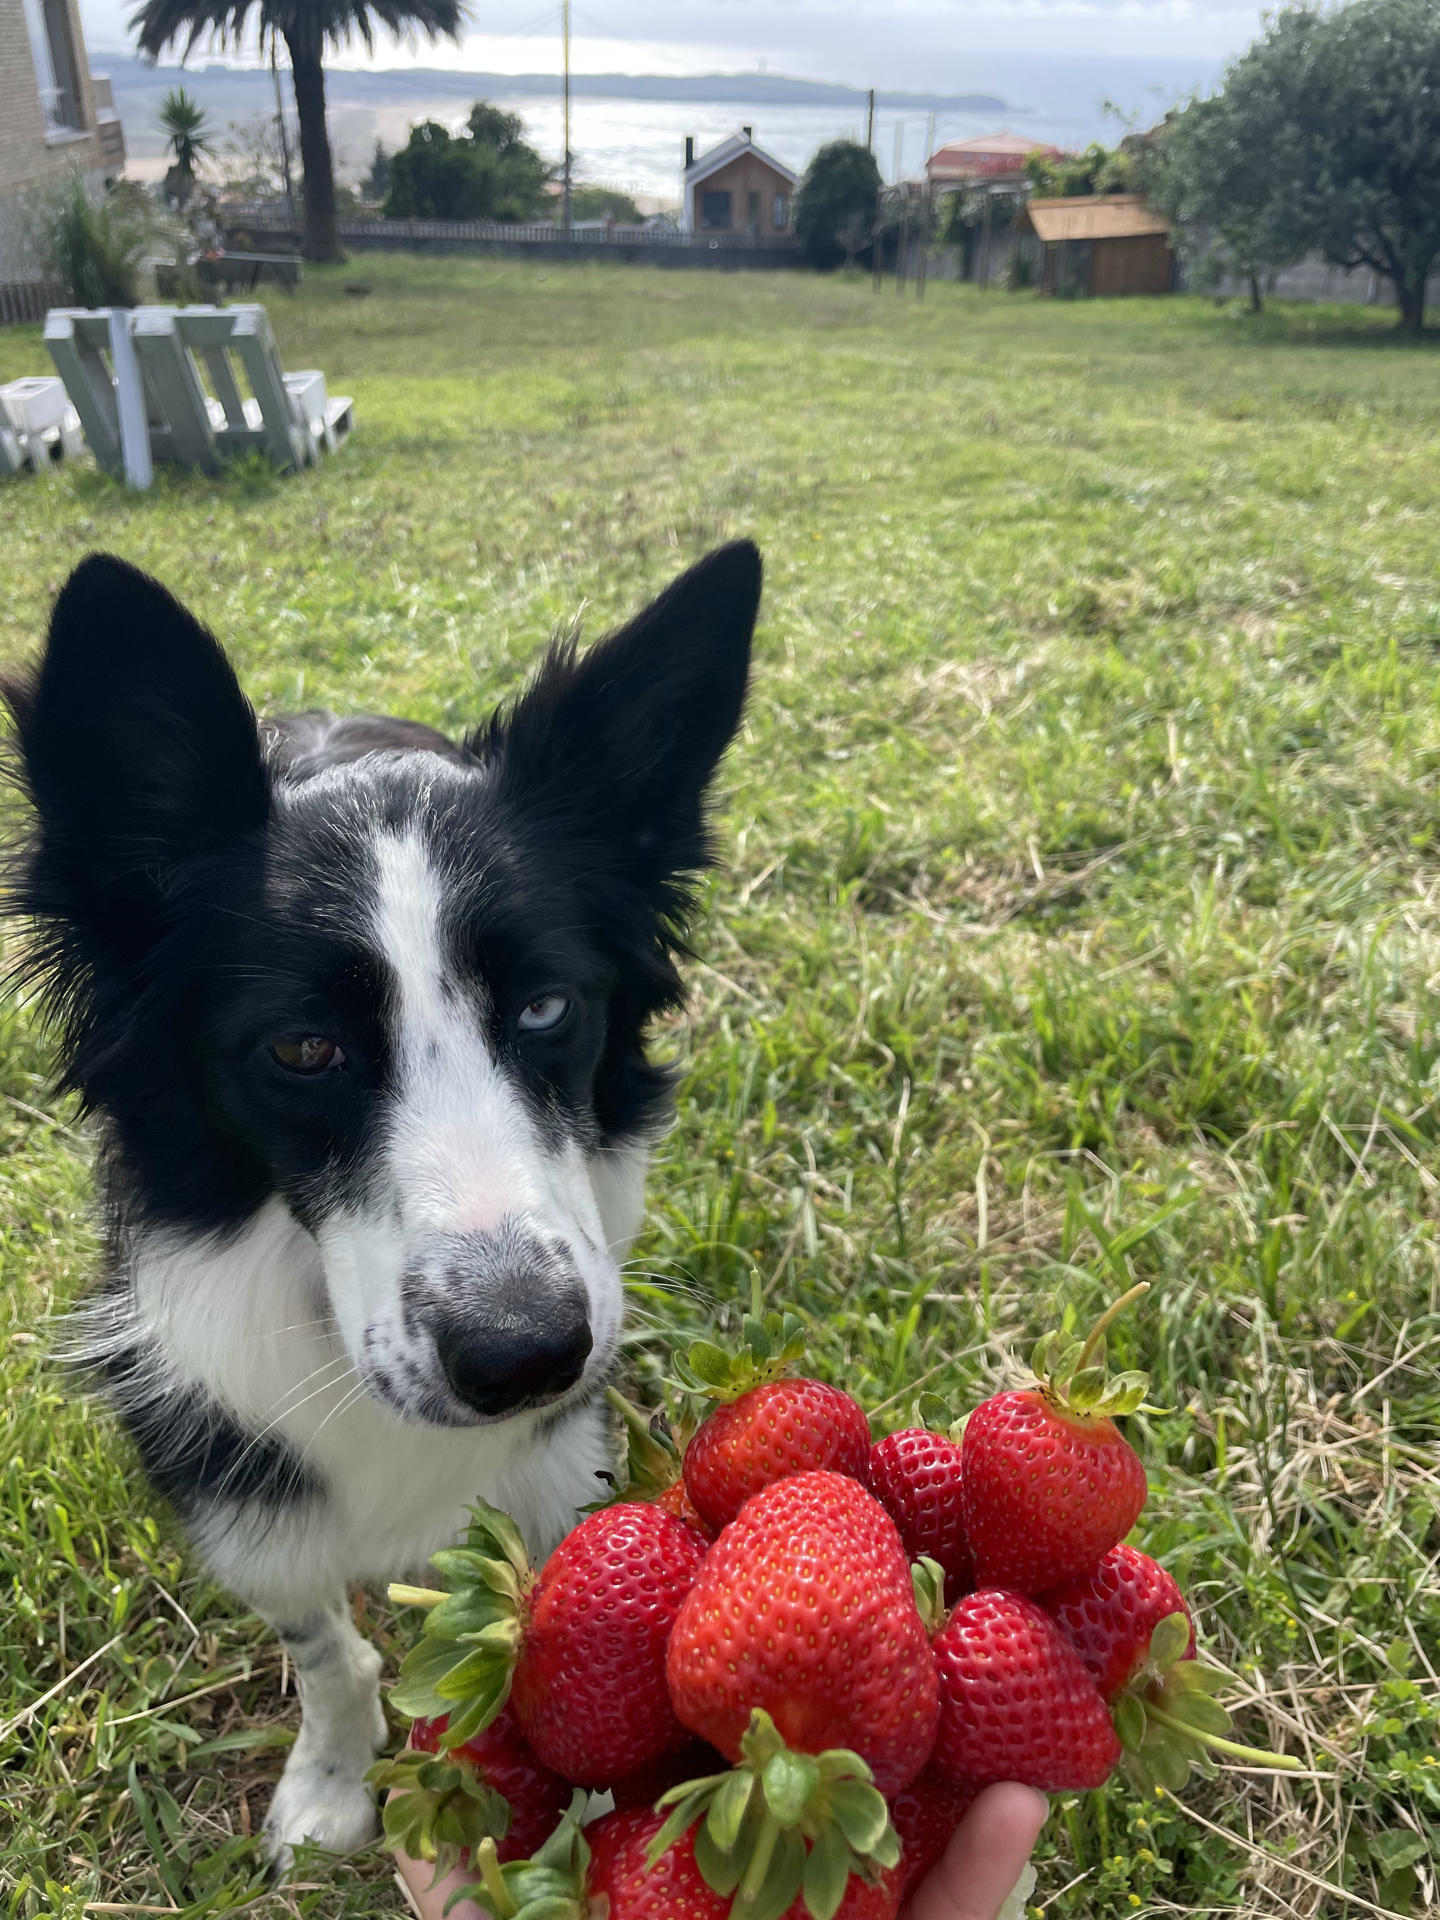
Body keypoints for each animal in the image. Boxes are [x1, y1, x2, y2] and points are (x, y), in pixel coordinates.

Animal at [2, 541, 768, 1858]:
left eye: (548, 1006)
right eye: (303, 1049)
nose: (526, 1358)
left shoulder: (558, 1465)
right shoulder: (239, 1481)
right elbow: (323, 1649)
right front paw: (332, 1778)